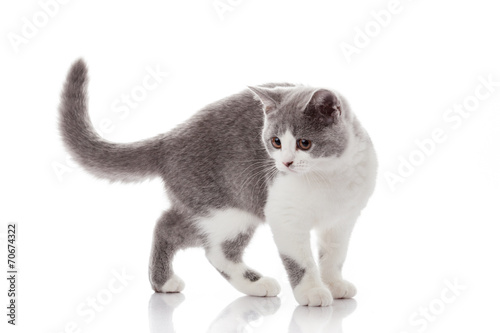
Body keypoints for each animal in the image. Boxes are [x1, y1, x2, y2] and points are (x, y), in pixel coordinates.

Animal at [59, 59, 376, 306]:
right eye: (275, 141)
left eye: (304, 143)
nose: (285, 163)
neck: (327, 177)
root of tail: (170, 139)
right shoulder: (284, 215)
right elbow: (300, 260)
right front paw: (312, 292)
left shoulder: (344, 219)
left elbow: (334, 254)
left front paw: (334, 284)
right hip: (228, 208)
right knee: (212, 249)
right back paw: (251, 283)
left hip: (206, 204)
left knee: (169, 225)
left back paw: (165, 281)